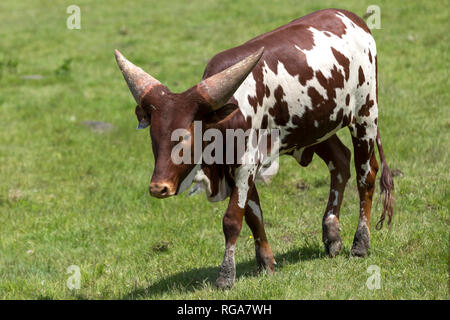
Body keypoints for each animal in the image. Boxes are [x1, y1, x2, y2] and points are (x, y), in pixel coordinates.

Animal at [114, 8, 392, 290]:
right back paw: (332, 234)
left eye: (186, 138)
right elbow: (253, 215)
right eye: (154, 137)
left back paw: (361, 243)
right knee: (340, 162)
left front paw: (226, 275)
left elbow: (232, 220)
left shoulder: (245, 165)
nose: (158, 188)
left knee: (366, 176)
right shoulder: (234, 170)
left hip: (365, 115)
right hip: (315, 127)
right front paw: (266, 263)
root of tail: (352, 18)